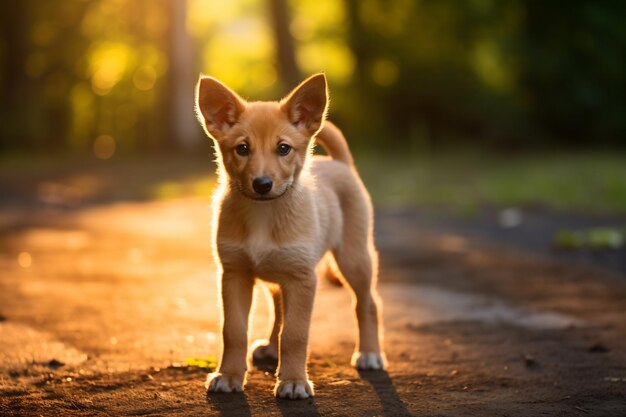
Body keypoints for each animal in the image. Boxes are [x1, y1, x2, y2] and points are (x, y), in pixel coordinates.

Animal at [195, 73, 386, 398]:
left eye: (283, 148)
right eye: (242, 148)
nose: (262, 184)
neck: (263, 215)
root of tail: (340, 163)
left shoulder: (301, 278)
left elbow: (296, 333)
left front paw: (294, 381)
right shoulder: (234, 274)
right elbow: (233, 330)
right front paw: (228, 375)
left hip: (354, 259)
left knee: (368, 303)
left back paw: (370, 353)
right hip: (277, 275)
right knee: (279, 311)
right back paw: (272, 348)